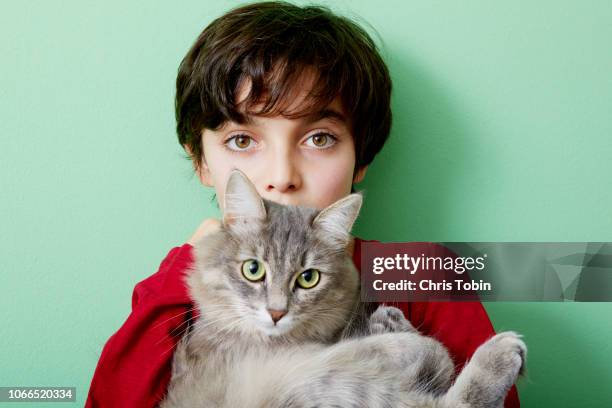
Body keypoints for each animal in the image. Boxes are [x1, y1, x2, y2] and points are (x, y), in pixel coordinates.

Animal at [159, 170, 524, 408]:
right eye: (253, 270)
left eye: (308, 278)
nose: (276, 313)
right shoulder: (296, 362)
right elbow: (388, 348)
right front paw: (406, 339)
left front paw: (389, 319)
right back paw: (500, 352)